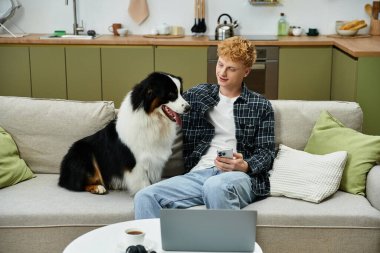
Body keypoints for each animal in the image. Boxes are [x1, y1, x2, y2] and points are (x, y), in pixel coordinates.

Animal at [57, 72, 190, 195]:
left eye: (180, 93)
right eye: (171, 94)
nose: (189, 108)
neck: (151, 118)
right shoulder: (136, 163)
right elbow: (143, 183)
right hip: (84, 153)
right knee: (76, 184)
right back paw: (97, 187)